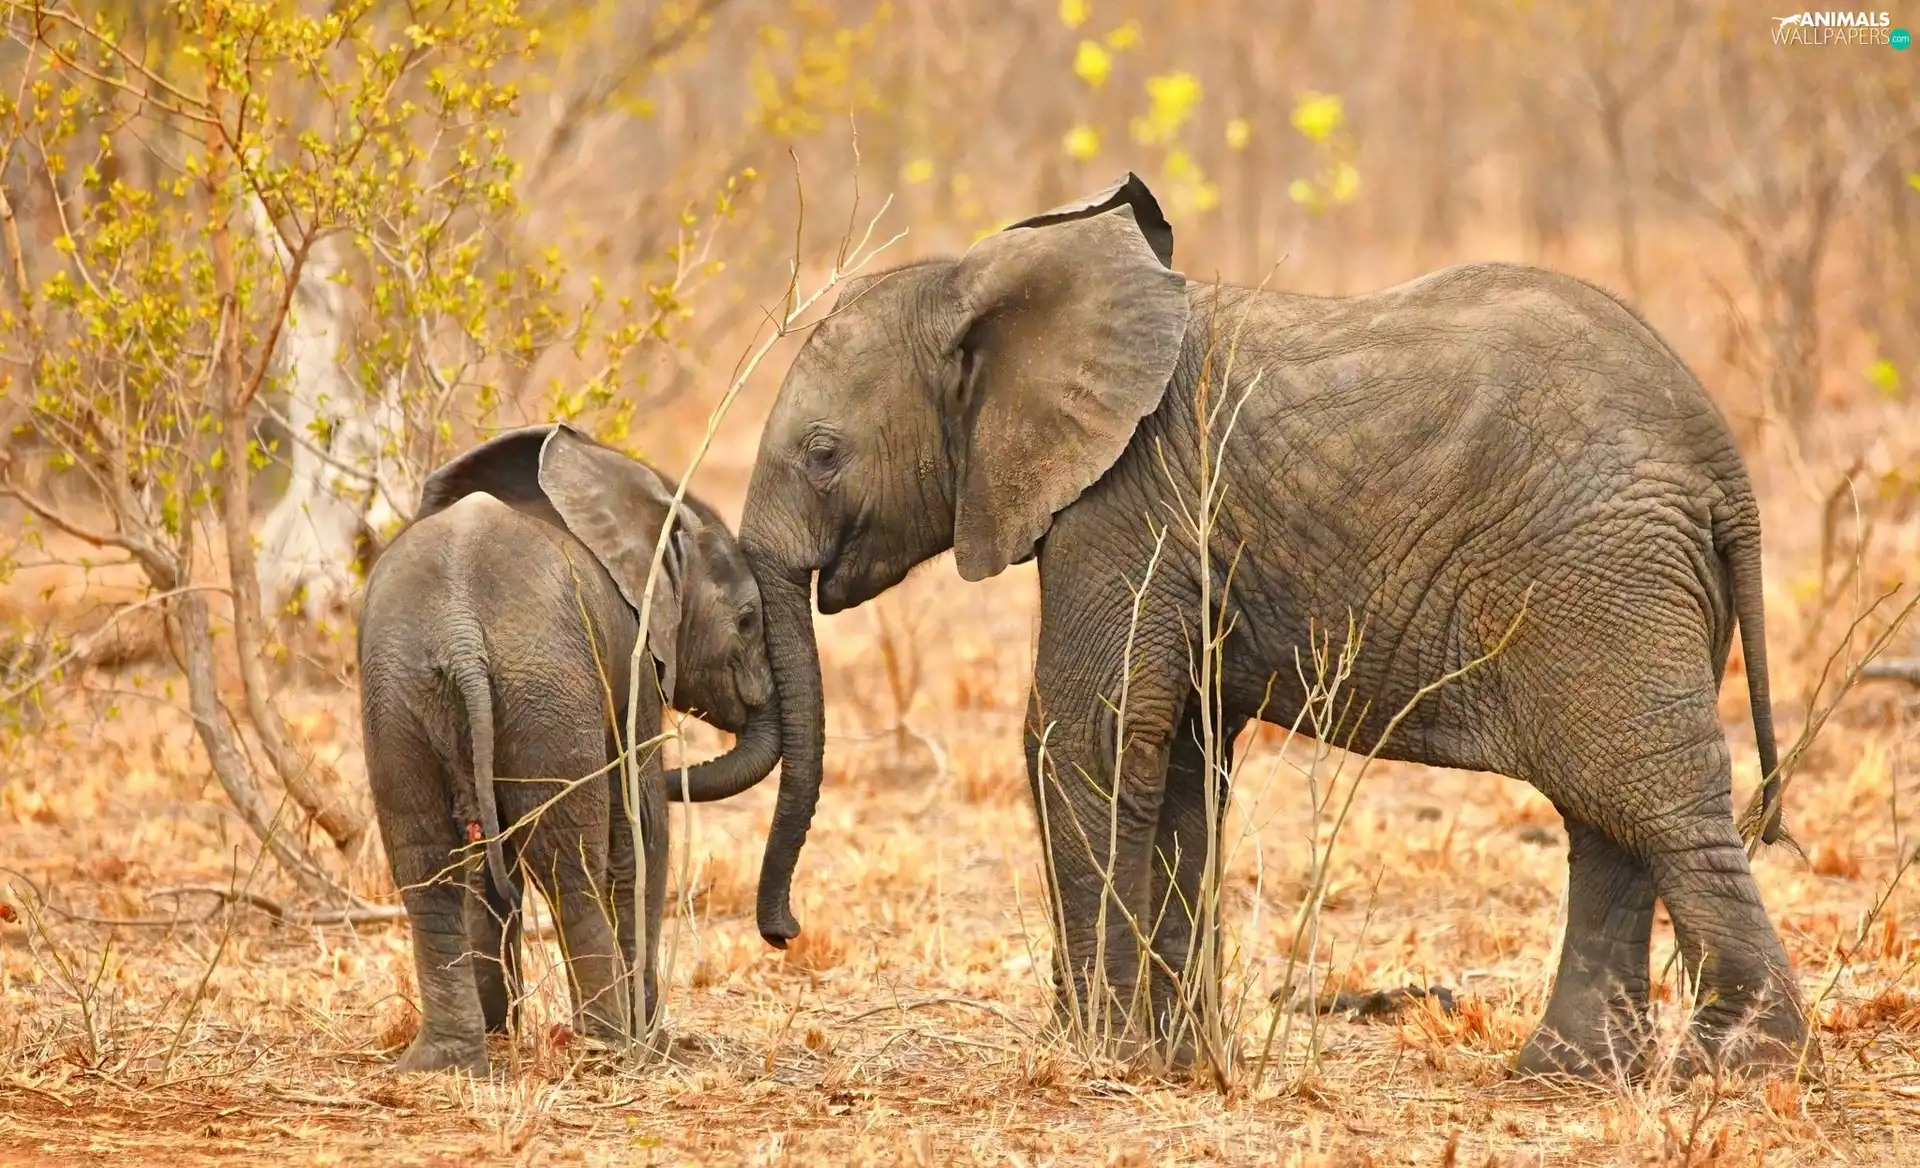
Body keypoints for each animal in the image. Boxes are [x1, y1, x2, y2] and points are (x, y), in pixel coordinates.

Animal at [358, 423, 780, 1075]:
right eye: (748, 619)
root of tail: (459, 633)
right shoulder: (633, 658)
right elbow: (641, 825)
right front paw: (654, 1041)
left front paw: (500, 1029)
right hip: (543, 688)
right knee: (567, 860)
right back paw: (610, 1046)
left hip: (399, 694)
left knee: (426, 862)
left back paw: (446, 1063)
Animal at [733, 173, 1807, 1080]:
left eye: (824, 454)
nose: (784, 932)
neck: (983, 285)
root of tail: (1727, 468)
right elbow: (1178, 758)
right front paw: (1172, 1061)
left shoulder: (1127, 503)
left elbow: (1084, 735)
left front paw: (1102, 1057)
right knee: (1608, 817)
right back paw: (1567, 1075)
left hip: (1604, 578)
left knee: (1656, 805)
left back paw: (1739, 1070)